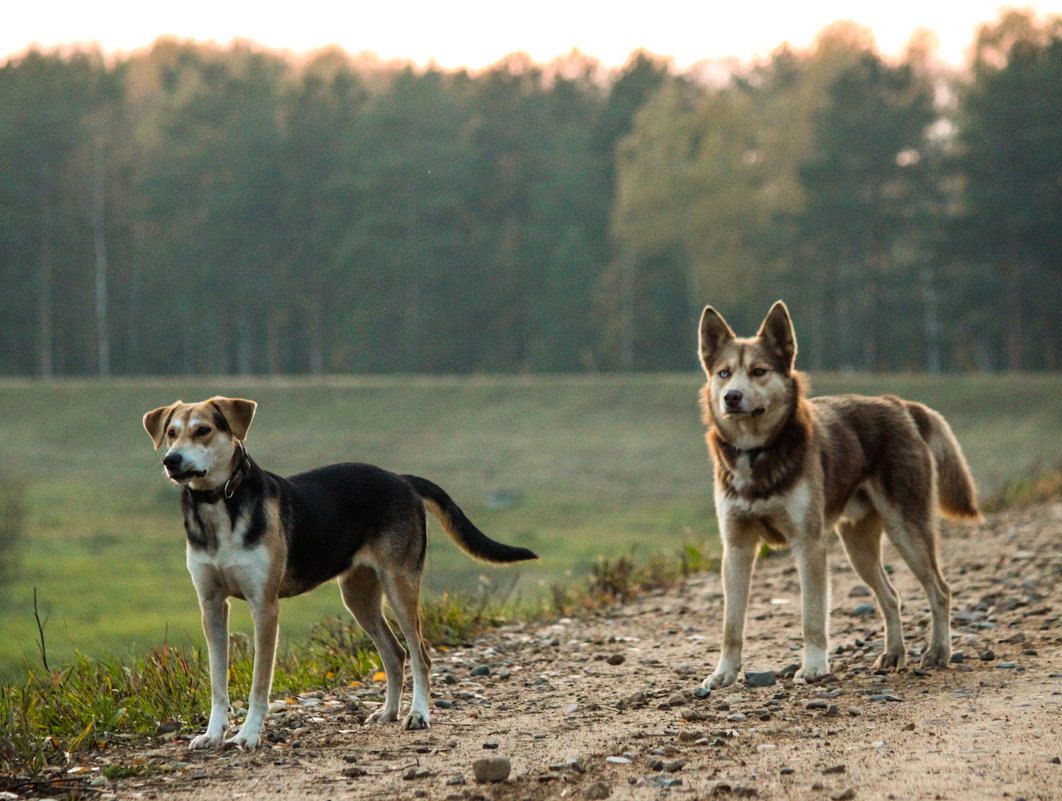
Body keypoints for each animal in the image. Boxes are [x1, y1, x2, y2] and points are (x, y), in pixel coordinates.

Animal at [145, 397, 535, 752]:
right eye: (171, 433)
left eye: (203, 431)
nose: (170, 461)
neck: (219, 505)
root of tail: (402, 480)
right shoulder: (211, 605)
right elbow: (217, 683)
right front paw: (212, 735)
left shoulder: (264, 606)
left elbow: (259, 684)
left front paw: (248, 735)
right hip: (358, 596)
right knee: (395, 653)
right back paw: (388, 712)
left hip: (400, 586)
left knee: (421, 655)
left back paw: (418, 715)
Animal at [696, 299, 977, 688]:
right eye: (723, 373)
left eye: (758, 371)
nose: (731, 397)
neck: (757, 452)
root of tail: (899, 404)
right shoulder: (737, 549)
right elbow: (731, 624)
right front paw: (724, 672)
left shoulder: (809, 545)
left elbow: (812, 616)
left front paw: (814, 667)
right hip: (858, 547)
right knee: (891, 596)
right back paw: (894, 653)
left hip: (907, 531)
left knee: (940, 590)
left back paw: (938, 652)